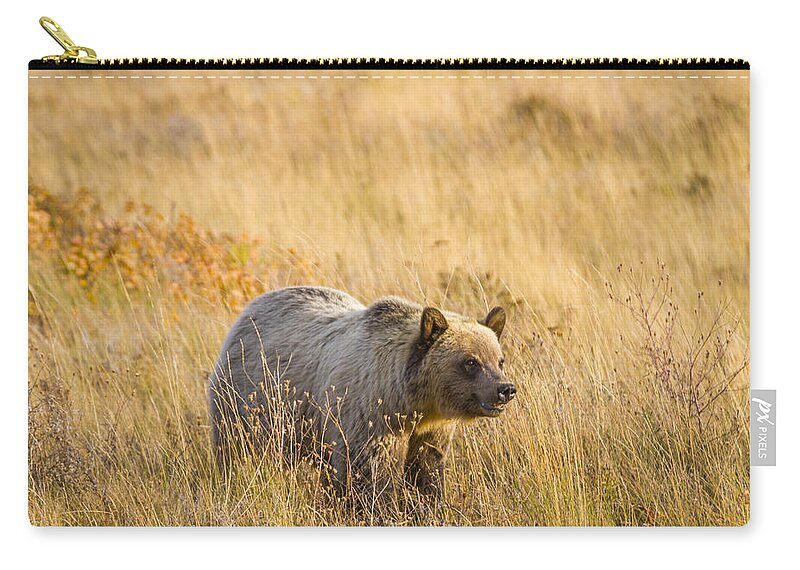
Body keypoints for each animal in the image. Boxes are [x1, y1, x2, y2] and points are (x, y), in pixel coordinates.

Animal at [209, 284, 516, 496]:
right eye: (470, 362)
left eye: (499, 359)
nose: (505, 389)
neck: (410, 402)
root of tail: (250, 309)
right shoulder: (367, 416)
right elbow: (369, 474)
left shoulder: (430, 429)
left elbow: (426, 468)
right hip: (248, 402)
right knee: (236, 450)